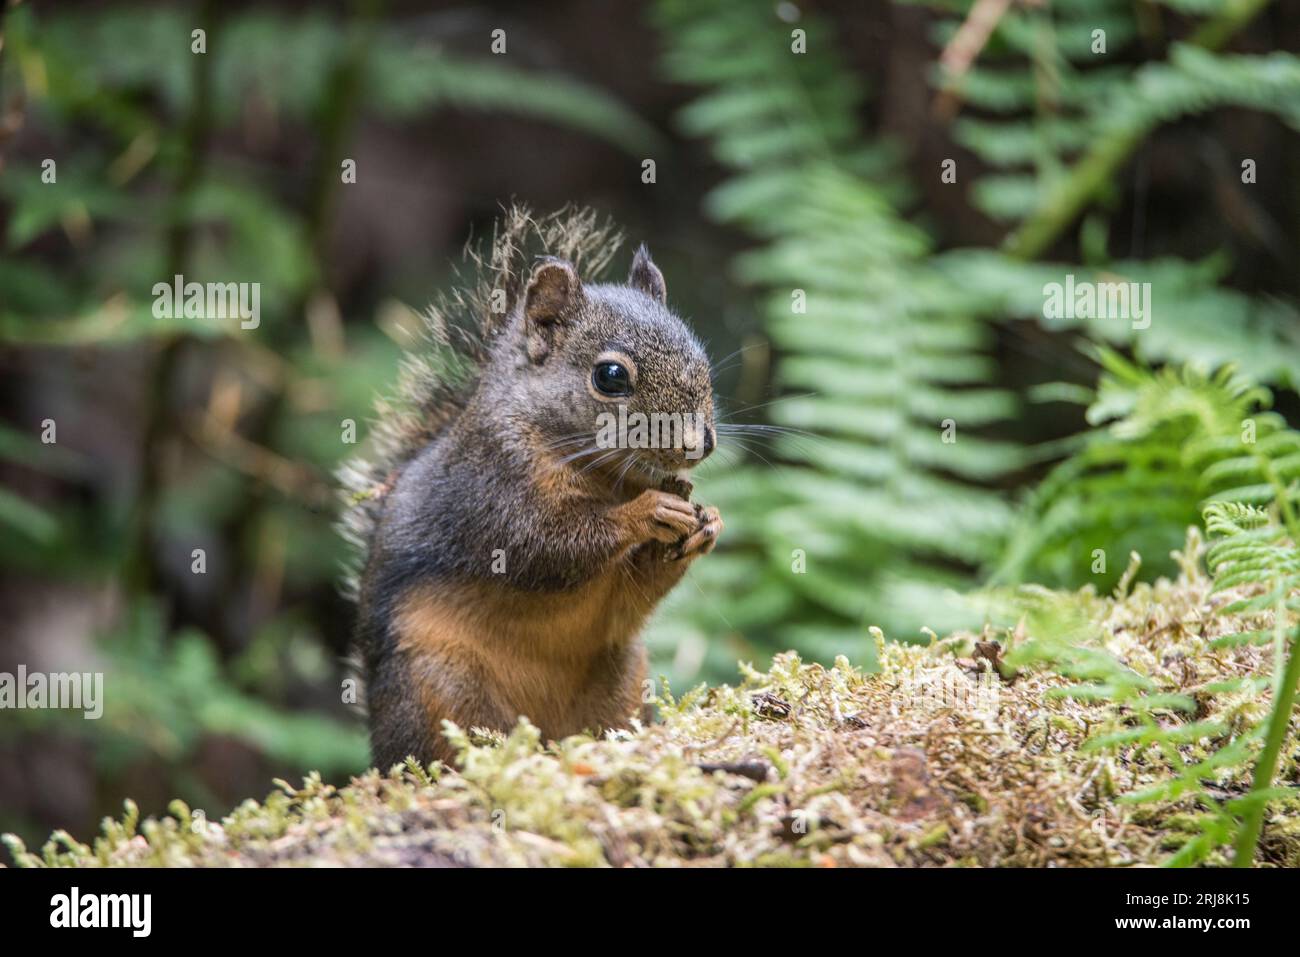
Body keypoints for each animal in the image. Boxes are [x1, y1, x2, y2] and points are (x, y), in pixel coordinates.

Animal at [338, 209, 722, 769]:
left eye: (703, 361)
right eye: (610, 376)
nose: (698, 445)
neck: (603, 475)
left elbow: (627, 601)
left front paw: (706, 524)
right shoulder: (491, 490)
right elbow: (546, 547)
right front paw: (646, 512)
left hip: (624, 678)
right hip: (438, 684)